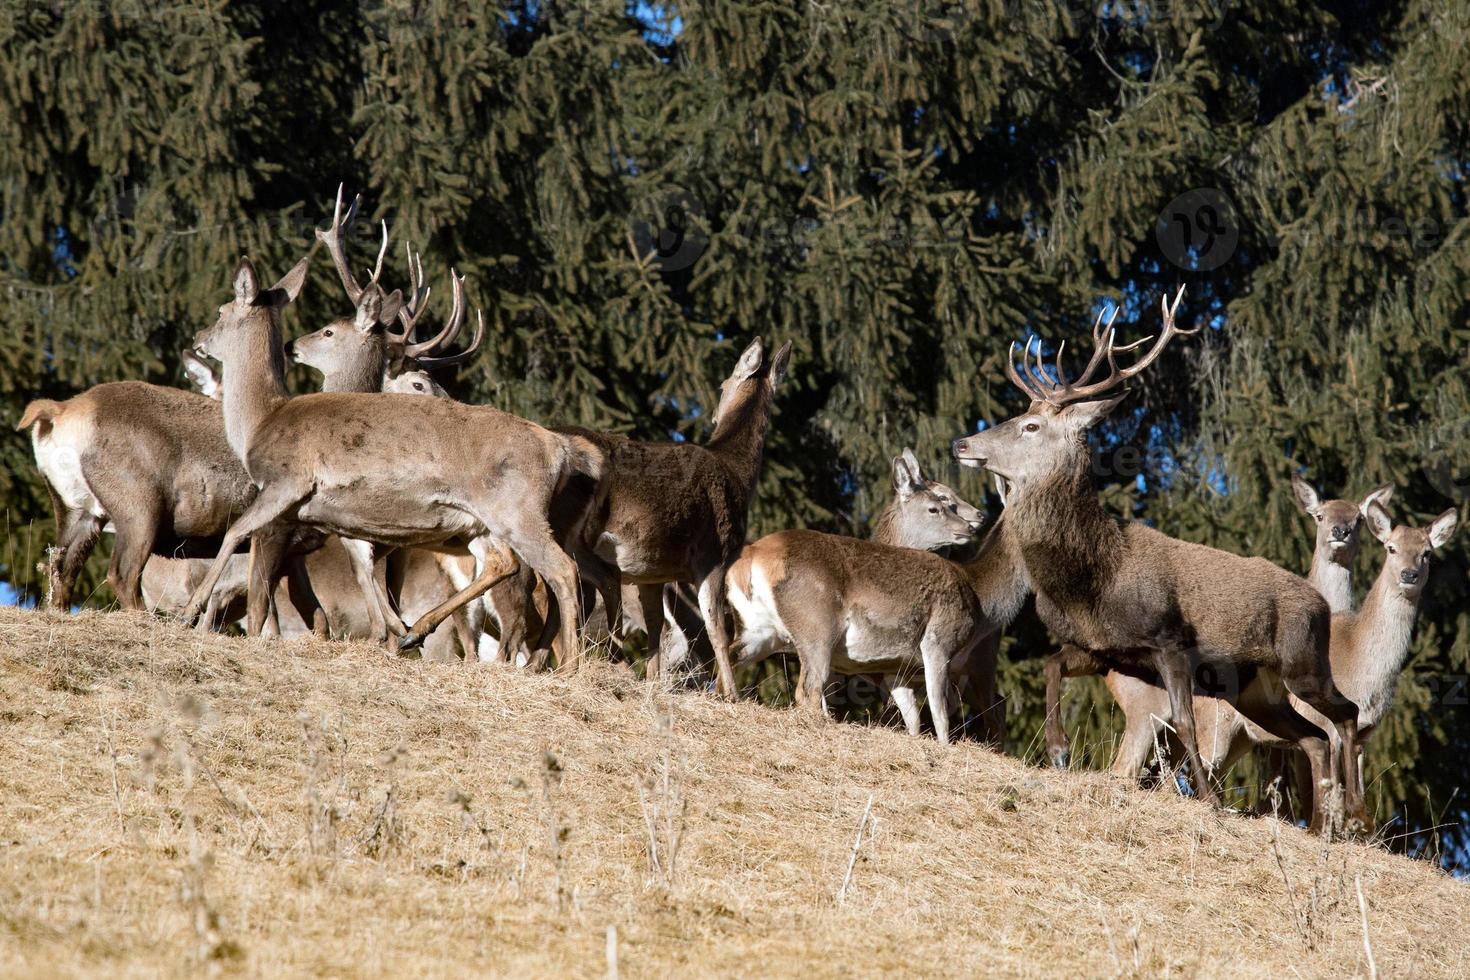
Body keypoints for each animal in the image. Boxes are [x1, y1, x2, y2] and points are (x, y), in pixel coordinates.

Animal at [952, 287, 1364, 834]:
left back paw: (1354, 812)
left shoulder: (1171, 640)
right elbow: (1051, 665)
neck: (1094, 576)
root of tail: (1321, 604)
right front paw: (1059, 749)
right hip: (1257, 691)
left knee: (1346, 714)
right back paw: (1319, 828)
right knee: (1314, 737)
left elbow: (1185, 720)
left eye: (1030, 425)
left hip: (1303, 662)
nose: (962, 442)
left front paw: (1208, 799)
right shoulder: (1104, 648)